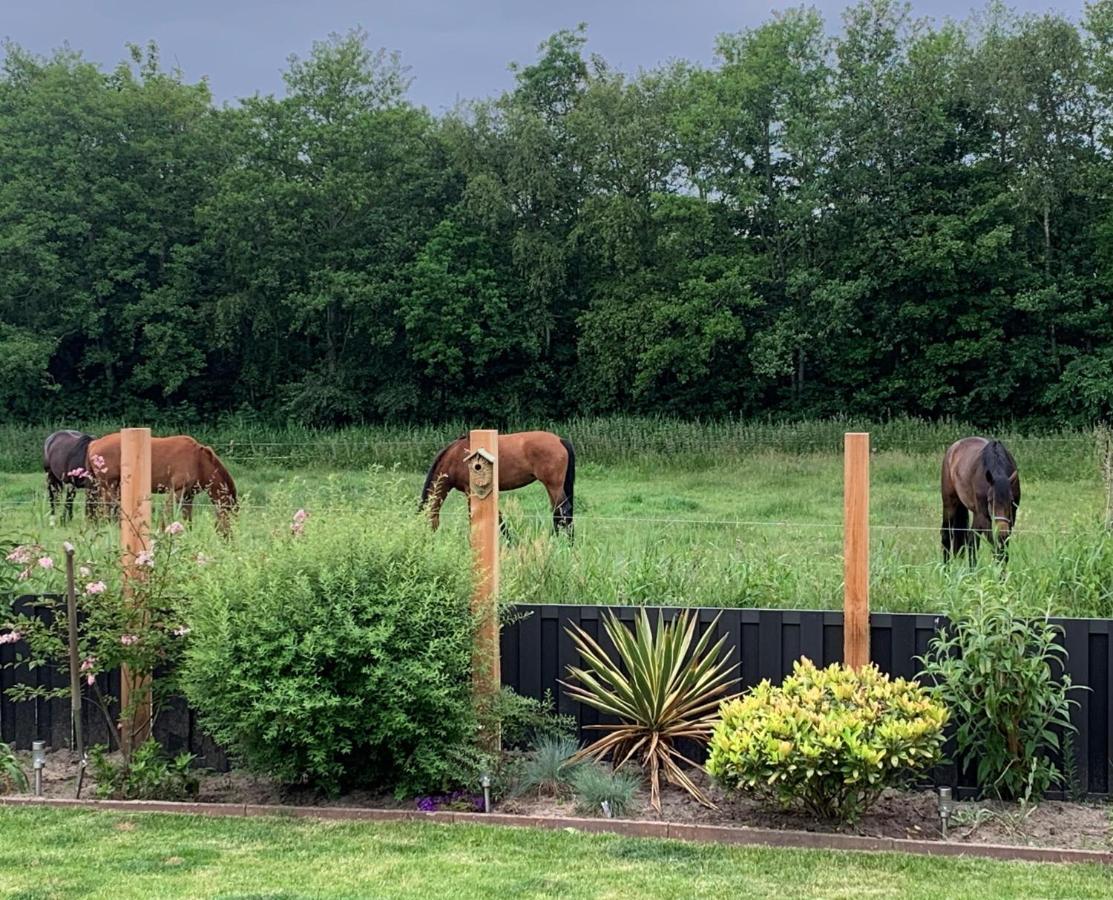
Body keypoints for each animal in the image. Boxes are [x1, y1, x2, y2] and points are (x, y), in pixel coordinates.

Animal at [85, 433, 238, 533]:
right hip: (109, 486)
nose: (229, 538)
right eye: (230, 517)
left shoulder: (188, 496)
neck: (198, 461)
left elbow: (187, 519)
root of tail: (93, 444)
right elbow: (167, 514)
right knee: (107, 511)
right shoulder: (176, 490)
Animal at [418, 429, 574, 533]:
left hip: (553, 485)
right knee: (558, 512)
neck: (455, 457)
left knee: (563, 511)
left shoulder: (471, 491)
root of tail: (560, 440)